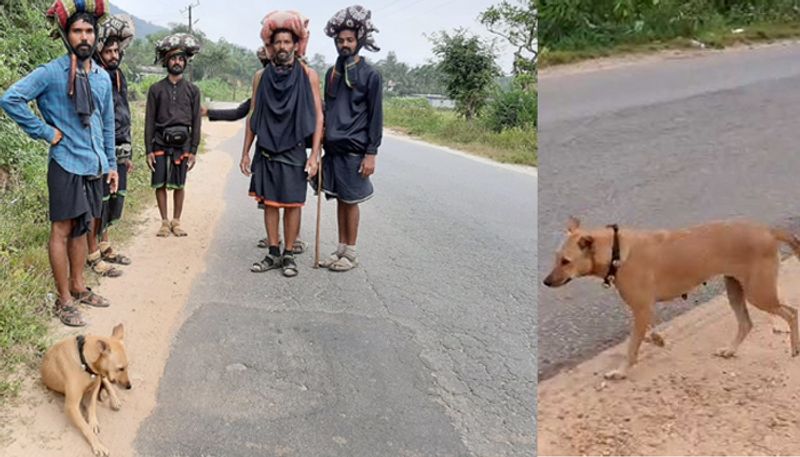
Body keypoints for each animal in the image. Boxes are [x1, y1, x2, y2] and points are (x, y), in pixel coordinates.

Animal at [40, 322, 130, 454]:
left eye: (127, 366)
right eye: (121, 368)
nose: (129, 386)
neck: (83, 360)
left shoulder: (95, 385)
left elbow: (92, 406)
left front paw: (93, 422)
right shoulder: (71, 407)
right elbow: (85, 427)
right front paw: (97, 444)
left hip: (102, 377)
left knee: (106, 383)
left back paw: (114, 399)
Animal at [544, 216, 800, 378]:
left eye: (565, 261)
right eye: (555, 257)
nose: (546, 282)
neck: (616, 252)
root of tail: (769, 231)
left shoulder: (641, 308)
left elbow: (632, 346)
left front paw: (621, 371)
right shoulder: (644, 309)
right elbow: (646, 332)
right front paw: (656, 339)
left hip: (759, 293)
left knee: (791, 313)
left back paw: (794, 349)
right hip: (735, 289)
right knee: (746, 323)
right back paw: (730, 350)